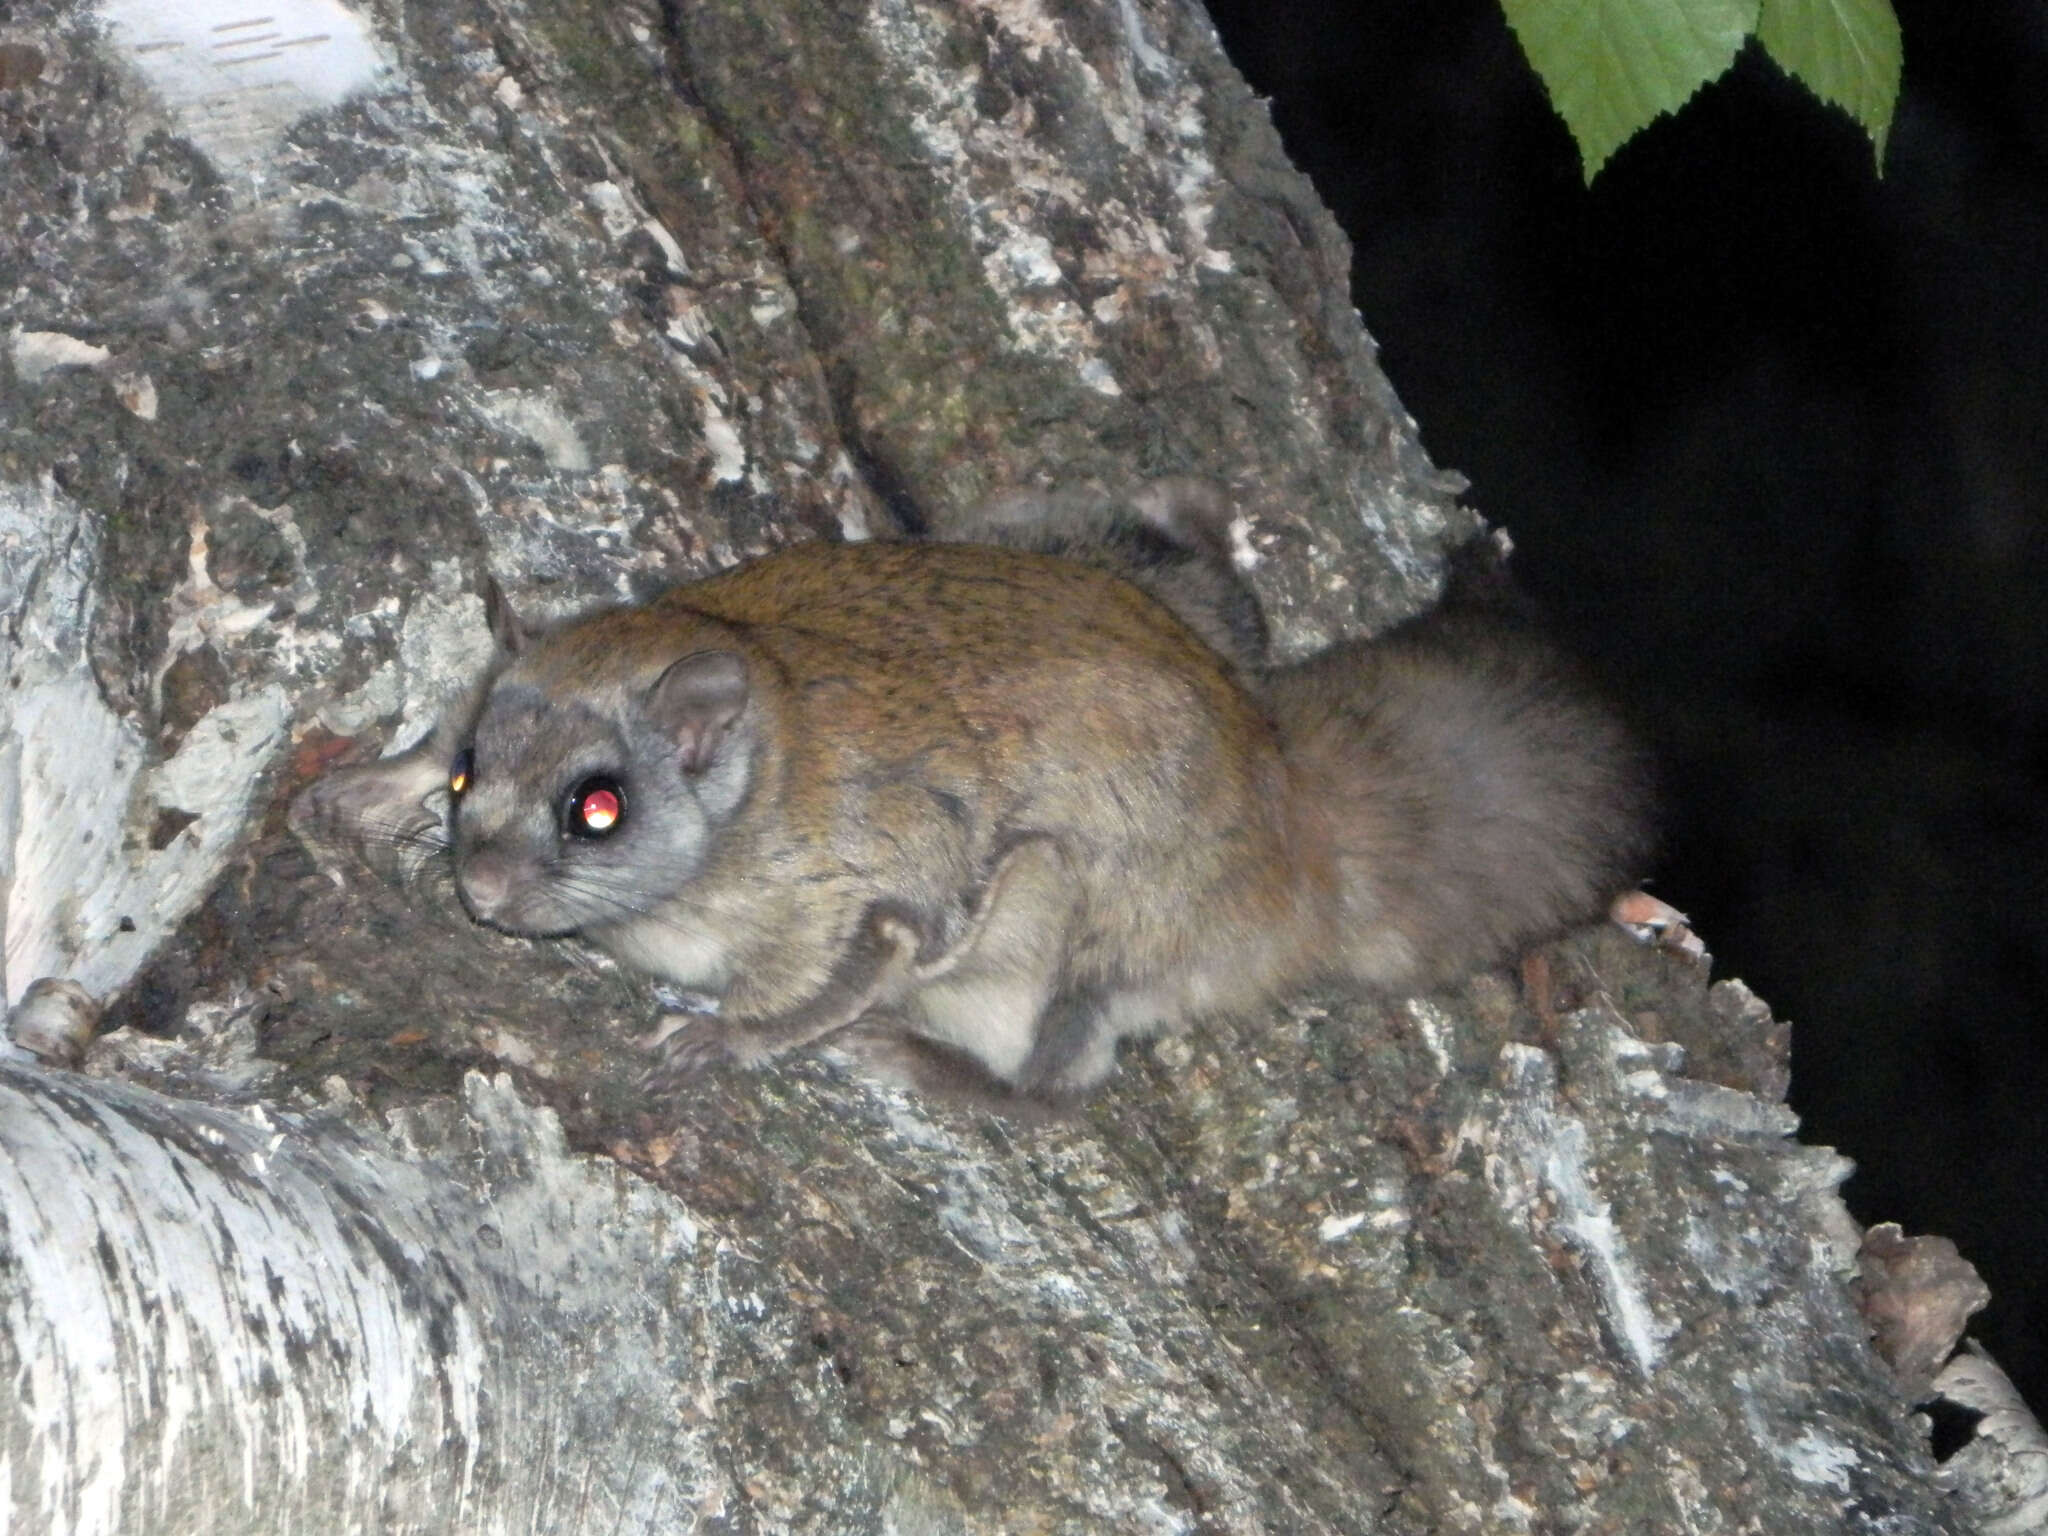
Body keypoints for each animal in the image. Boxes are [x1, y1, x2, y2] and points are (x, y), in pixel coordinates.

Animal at [296, 487, 1654, 1097]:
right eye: (471, 772)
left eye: (597, 808)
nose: (478, 887)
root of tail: (1292, 818)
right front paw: (365, 791)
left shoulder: (881, 884)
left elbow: (836, 973)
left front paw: (723, 1036)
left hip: (1068, 917)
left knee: (1053, 1085)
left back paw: (923, 1057)